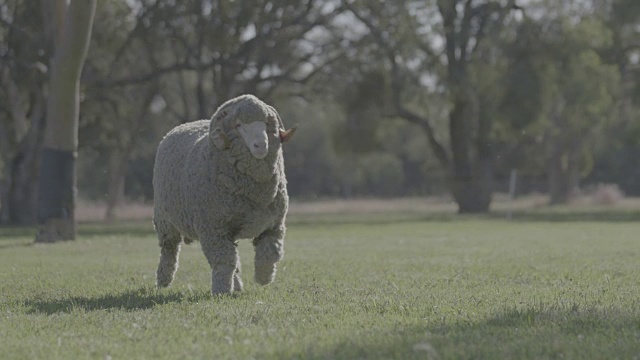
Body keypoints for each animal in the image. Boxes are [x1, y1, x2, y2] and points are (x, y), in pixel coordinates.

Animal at [154, 93, 296, 296]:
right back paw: (163, 281)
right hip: (165, 221)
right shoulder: (213, 229)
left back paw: (236, 286)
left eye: (265, 124)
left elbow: (269, 254)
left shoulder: (273, 225)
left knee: (234, 257)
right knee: (169, 250)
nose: (261, 145)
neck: (253, 194)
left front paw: (264, 278)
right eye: (239, 125)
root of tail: (184, 125)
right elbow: (223, 262)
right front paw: (221, 290)